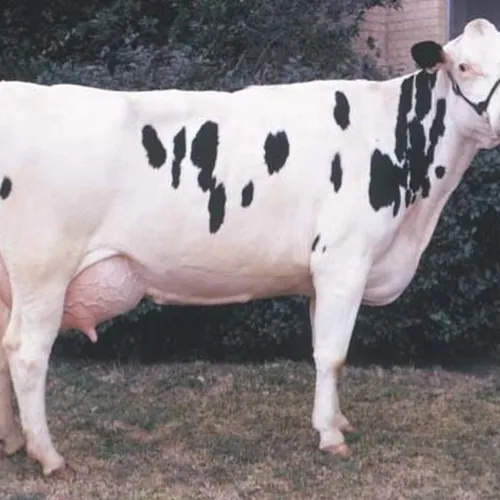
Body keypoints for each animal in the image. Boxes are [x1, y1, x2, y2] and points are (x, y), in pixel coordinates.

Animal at [1, 17, 500, 477]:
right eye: (464, 65)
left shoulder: (321, 276)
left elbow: (324, 351)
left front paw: (336, 420)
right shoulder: (344, 260)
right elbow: (333, 355)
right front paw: (331, 436)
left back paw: (12, 440)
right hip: (44, 270)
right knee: (26, 354)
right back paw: (48, 455)